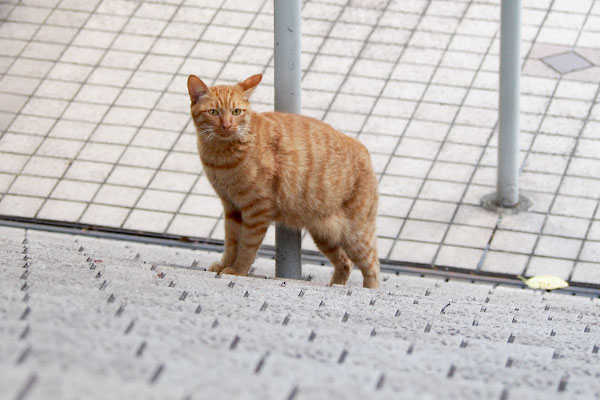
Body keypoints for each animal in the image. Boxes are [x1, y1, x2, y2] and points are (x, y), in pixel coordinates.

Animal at [186, 74, 380, 288]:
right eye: (213, 112)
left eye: (236, 111)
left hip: (355, 236)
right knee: (345, 263)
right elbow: (231, 242)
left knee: (372, 267)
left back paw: (369, 289)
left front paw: (238, 270)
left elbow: (246, 245)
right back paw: (335, 285)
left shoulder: (257, 209)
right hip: (325, 235)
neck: (221, 156)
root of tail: (364, 149)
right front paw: (224, 265)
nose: (227, 125)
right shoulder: (231, 207)